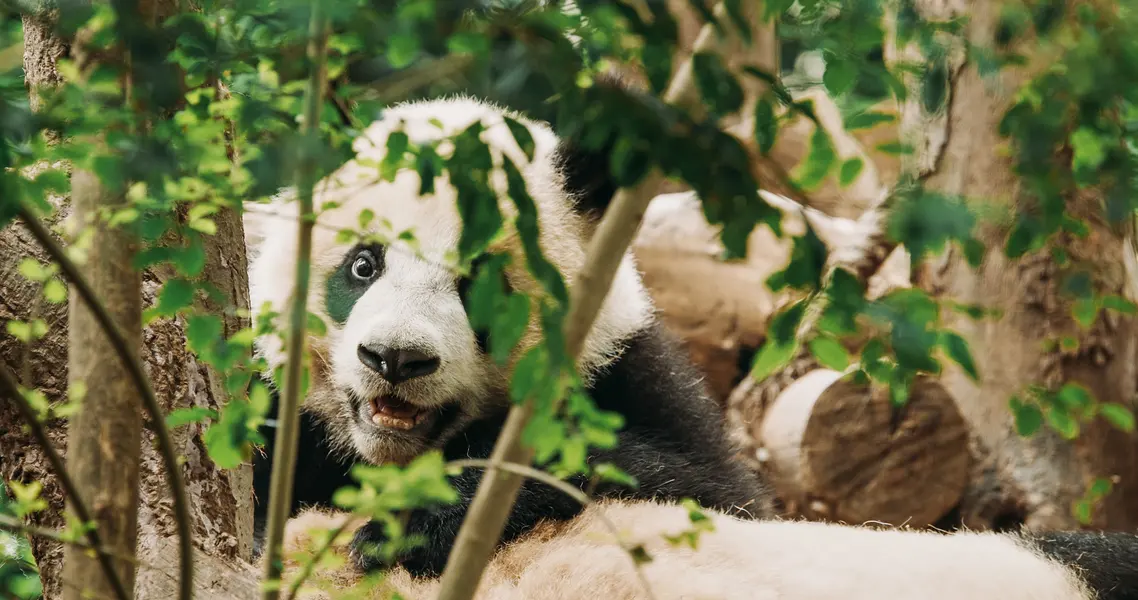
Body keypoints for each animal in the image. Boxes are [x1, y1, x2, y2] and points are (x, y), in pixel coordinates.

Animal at [245, 87, 1138, 598]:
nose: (396, 359)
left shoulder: (627, 375)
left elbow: (695, 485)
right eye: (363, 263)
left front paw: (409, 523)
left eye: (482, 284)